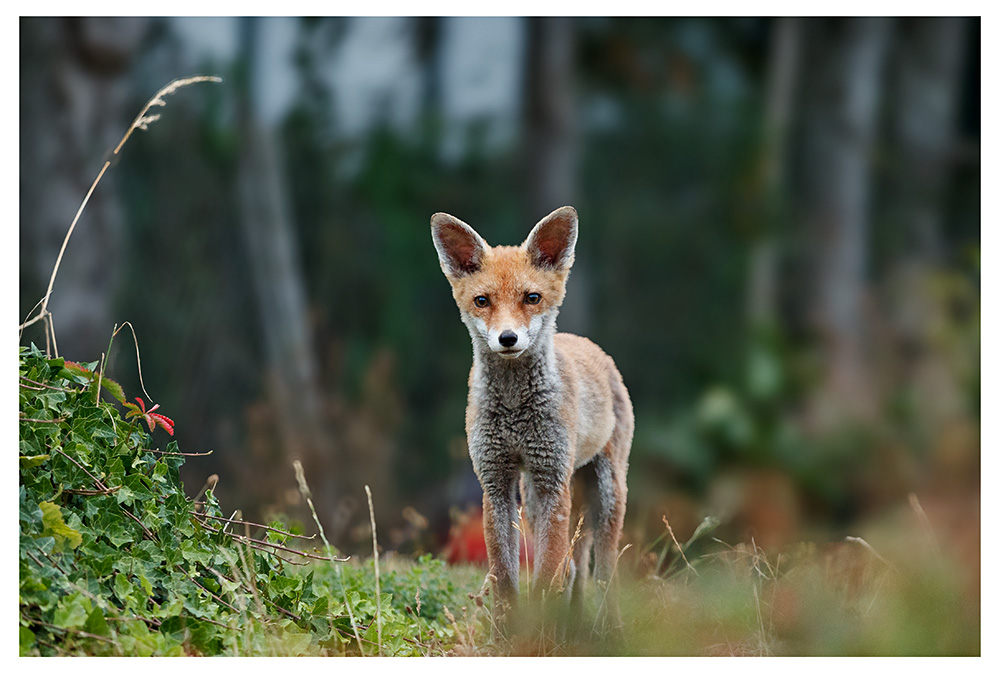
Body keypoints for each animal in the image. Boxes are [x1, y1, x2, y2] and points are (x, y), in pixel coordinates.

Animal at [430, 205, 634, 621]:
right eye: (482, 301)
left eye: (532, 297)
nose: (507, 338)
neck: (514, 410)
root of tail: (588, 344)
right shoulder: (496, 481)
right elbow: (505, 578)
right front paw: (507, 630)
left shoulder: (553, 479)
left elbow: (543, 579)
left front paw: (538, 629)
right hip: (534, 496)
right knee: (573, 569)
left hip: (604, 490)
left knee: (600, 572)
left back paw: (608, 625)